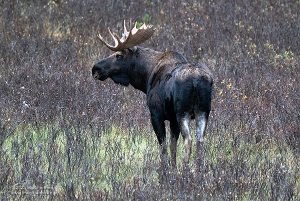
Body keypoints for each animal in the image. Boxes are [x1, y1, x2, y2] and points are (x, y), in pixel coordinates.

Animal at [92, 20, 213, 168]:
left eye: (119, 55)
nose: (95, 68)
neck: (146, 76)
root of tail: (196, 81)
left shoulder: (156, 114)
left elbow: (163, 146)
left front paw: (164, 169)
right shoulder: (172, 119)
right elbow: (173, 146)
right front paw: (173, 167)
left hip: (183, 112)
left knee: (189, 140)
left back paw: (185, 169)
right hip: (203, 111)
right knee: (200, 140)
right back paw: (199, 169)